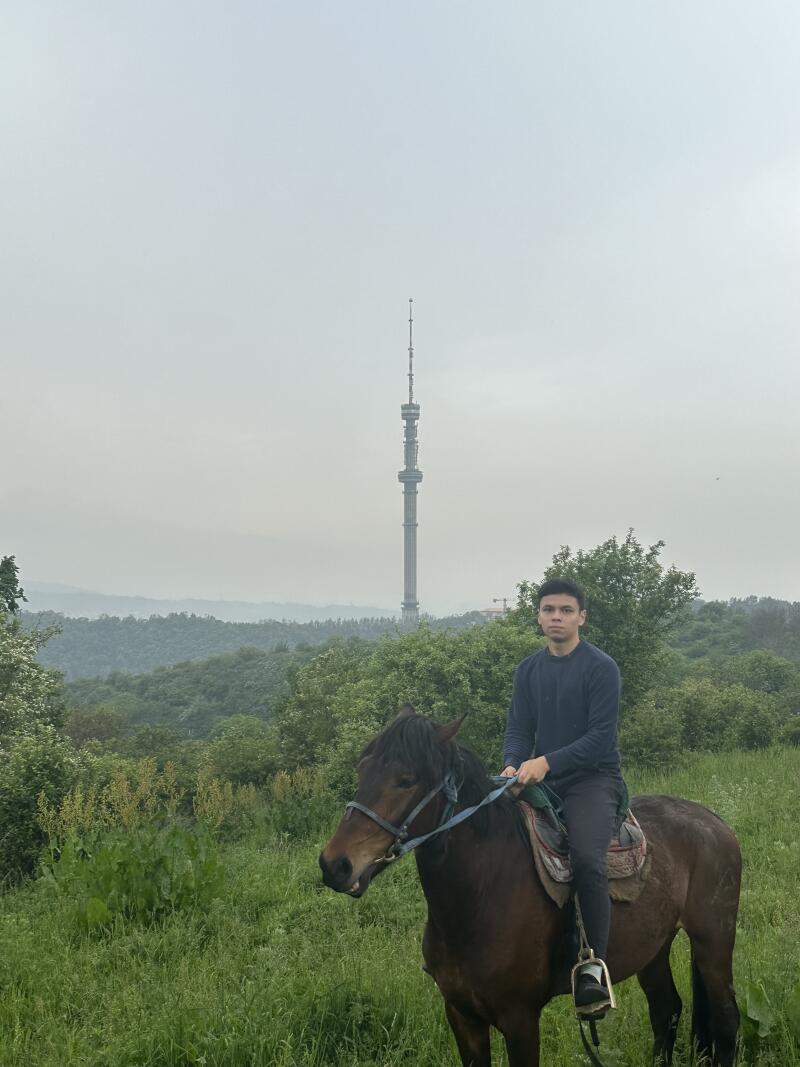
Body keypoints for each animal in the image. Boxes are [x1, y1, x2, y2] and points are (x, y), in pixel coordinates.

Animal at [319, 708, 742, 1067]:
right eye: (362, 770)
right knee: (666, 1010)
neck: (480, 898)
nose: (334, 864)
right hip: (654, 948)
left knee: (726, 1019)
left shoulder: (519, 1019)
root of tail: (714, 821)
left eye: (406, 779)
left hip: (713, 942)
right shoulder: (462, 1015)